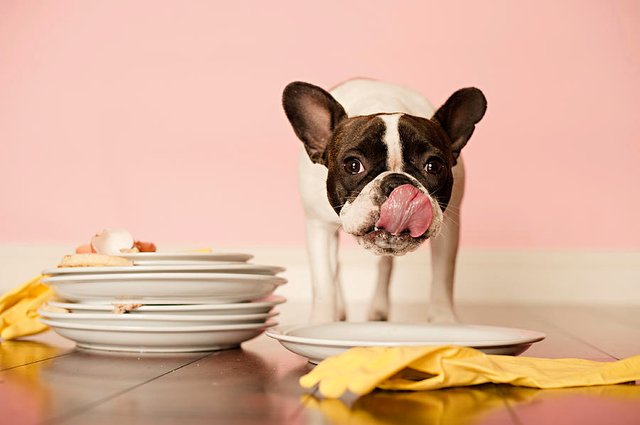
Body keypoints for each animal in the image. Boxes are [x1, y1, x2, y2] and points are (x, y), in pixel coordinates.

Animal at [282, 78, 484, 322]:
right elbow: (324, 283)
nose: (397, 183)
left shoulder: (448, 229)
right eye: (353, 165)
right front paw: (322, 322)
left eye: (433, 166)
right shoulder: (319, 227)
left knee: (385, 264)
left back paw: (378, 308)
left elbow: (442, 277)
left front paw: (443, 320)